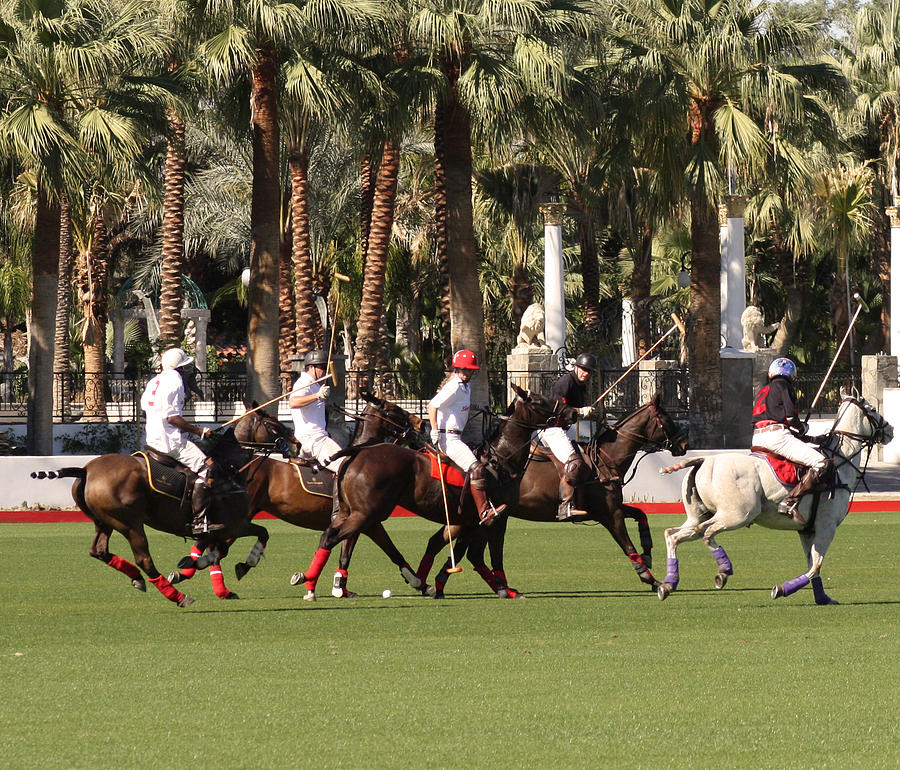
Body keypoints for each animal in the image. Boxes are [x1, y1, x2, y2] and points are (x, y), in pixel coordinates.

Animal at [31, 428, 256, 604]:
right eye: (267, 421)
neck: (229, 470)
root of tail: (86, 470)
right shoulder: (234, 524)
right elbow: (248, 538)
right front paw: (245, 565)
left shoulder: (220, 530)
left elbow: (214, 550)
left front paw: (196, 571)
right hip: (129, 523)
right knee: (143, 558)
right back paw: (177, 596)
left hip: (103, 520)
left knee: (98, 550)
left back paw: (138, 578)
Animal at [170, 392, 428, 596]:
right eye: (395, 410)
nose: (421, 424)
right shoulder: (367, 519)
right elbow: (390, 550)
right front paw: (418, 582)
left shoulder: (361, 521)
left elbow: (346, 554)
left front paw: (340, 587)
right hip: (240, 516)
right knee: (214, 545)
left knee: (211, 544)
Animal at [290, 384, 568, 600]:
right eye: (540, 401)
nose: (571, 412)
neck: (501, 460)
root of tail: (357, 452)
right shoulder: (496, 518)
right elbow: (492, 554)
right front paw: (506, 589)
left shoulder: (469, 521)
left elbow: (464, 552)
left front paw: (434, 584)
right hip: (367, 513)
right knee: (331, 536)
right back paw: (310, 583)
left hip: (356, 512)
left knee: (338, 537)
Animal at [414, 392, 688, 596]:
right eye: (667, 419)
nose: (684, 445)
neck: (606, 458)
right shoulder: (610, 513)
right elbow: (627, 544)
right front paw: (654, 581)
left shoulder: (610, 508)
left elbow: (642, 514)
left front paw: (648, 553)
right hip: (478, 518)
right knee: (459, 547)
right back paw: (435, 583)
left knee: (460, 548)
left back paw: (435, 583)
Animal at [652, 388, 892, 604]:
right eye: (872, 409)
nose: (890, 430)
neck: (840, 460)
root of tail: (704, 460)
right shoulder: (827, 525)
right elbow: (816, 565)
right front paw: (782, 589)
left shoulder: (807, 529)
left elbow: (812, 565)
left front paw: (823, 598)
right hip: (738, 514)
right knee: (706, 532)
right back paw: (723, 571)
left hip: (699, 515)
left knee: (673, 534)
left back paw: (668, 584)